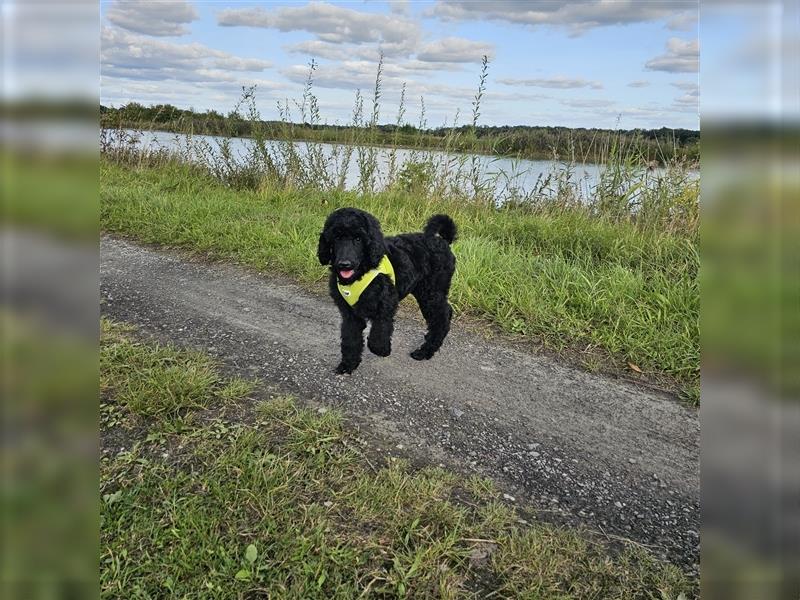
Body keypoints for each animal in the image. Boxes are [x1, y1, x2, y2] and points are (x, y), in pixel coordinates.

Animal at [318, 209, 456, 372]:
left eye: (358, 238)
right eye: (336, 238)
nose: (344, 264)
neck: (361, 273)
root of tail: (442, 241)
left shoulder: (386, 303)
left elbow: (378, 333)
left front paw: (382, 349)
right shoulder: (349, 314)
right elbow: (350, 339)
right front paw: (348, 364)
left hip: (430, 293)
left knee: (442, 318)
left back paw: (425, 351)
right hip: (425, 292)